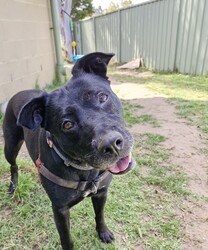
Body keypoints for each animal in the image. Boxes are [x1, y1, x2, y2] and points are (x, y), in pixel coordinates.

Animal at [3, 51, 134, 249]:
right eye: (67, 124)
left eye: (102, 97)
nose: (111, 144)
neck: (84, 169)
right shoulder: (60, 211)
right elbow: (67, 239)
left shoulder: (101, 193)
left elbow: (100, 215)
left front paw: (103, 232)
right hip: (10, 147)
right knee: (13, 166)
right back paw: (13, 186)